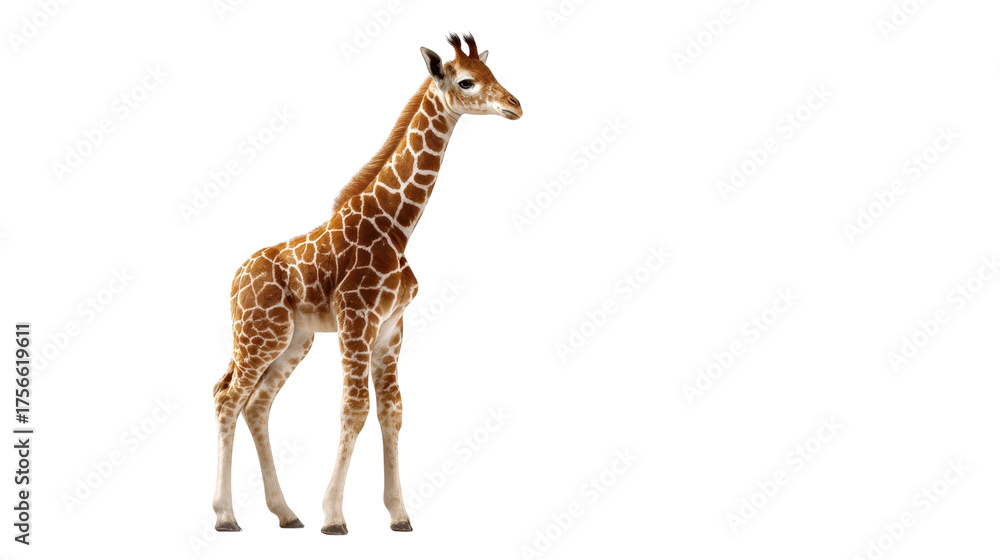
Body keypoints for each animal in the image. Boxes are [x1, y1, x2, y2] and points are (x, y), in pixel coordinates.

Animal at [211, 33, 521, 535]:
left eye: (493, 74)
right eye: (466, 81)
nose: (515, 105)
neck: (396, 226)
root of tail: (236, 278)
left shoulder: (392, 328)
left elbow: (392, 411)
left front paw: (399, 514)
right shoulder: (357, 319)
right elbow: (354, 409)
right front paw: (335, 516)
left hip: (294, 340)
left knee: (256, 405)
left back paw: (285, 512)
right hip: (260, 334)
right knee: (227, 398)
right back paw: (225, 516)